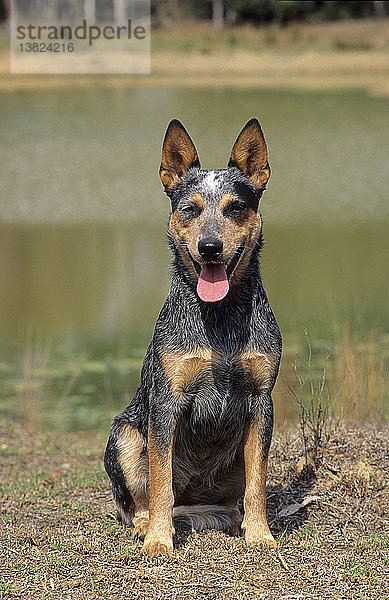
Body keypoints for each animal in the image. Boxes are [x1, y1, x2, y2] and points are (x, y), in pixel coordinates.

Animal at [103, 118, 280, 556]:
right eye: (189, 209)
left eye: (236, 207)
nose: (210, 247)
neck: (220, 319)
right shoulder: (166, 403)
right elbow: (161, 482)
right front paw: (159, 541)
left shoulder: (262, 401)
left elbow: (258, 481)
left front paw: (260, 534)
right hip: (125, 435)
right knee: (140, 502)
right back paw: (145, 527)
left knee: (233, 497)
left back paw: (233, 520)